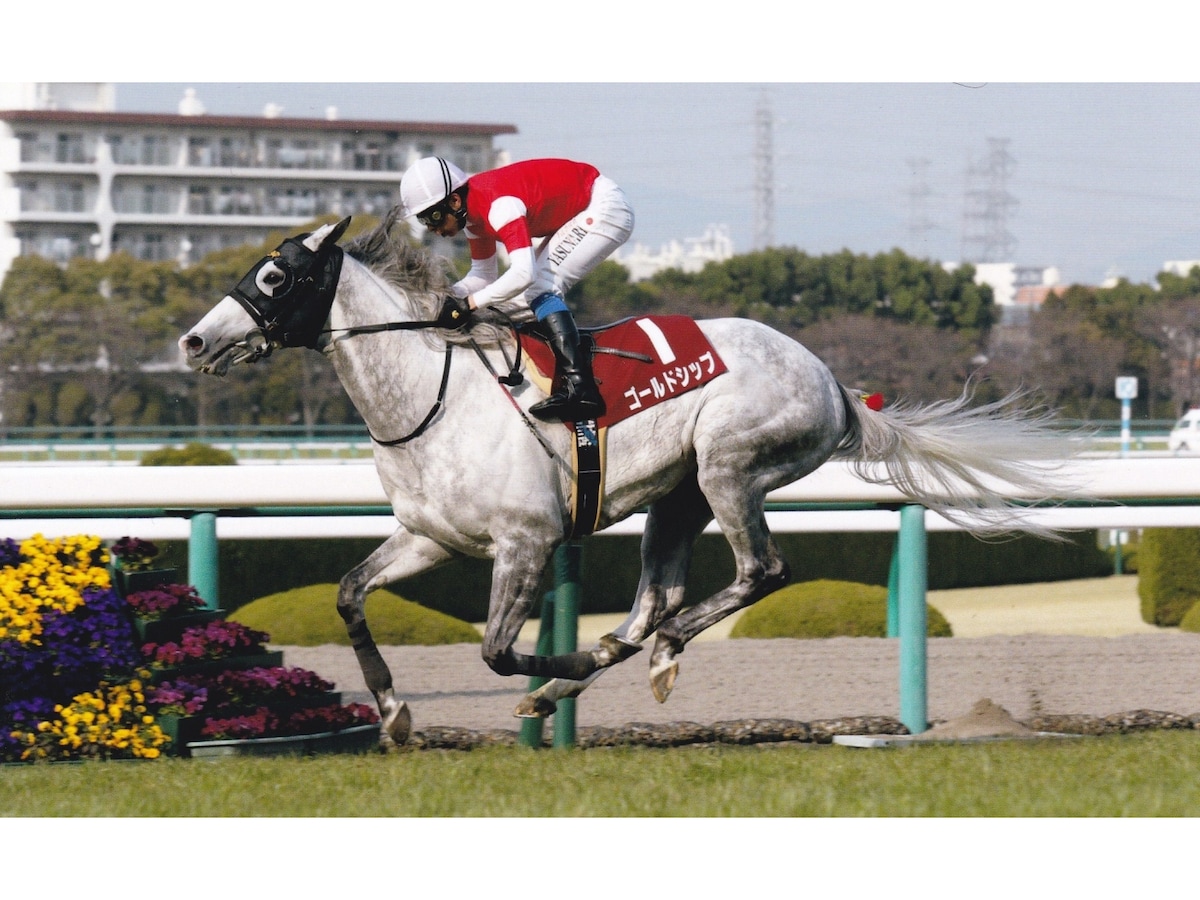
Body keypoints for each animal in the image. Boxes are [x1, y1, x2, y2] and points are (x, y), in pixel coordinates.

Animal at [179, 212, 1077, 749]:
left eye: (273, 278)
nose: (193, 341)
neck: (432, 392)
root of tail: (834, 384)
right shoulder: (432, 537)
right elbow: (348, 594)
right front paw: (396, 715)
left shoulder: (527, 541)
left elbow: (498, 650)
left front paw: (564, 666)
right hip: (677, 498)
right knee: (657, 598)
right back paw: (620, 656)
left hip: (729, 466)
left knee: (760, 572)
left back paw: (644, 653)